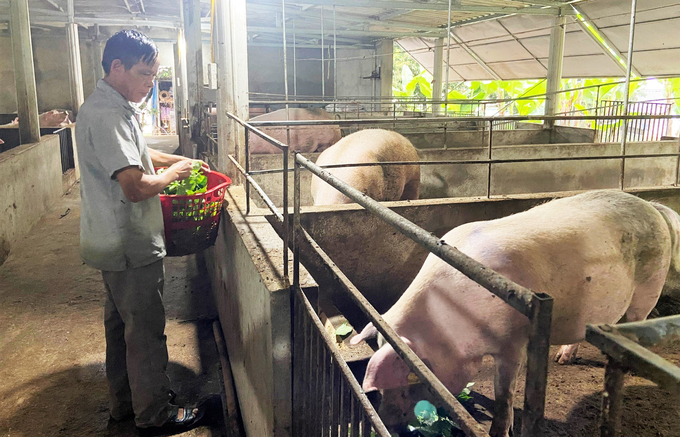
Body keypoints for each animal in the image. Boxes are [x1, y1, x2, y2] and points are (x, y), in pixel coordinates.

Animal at [348, 190, 676, 436]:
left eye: (409, 380)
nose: (388, 423)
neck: (450, 321)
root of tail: (654, 208)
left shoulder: (513, 342)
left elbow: (504, 394)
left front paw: (498, 431)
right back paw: (562, 359)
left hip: (648, 288)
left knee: (635, 323)